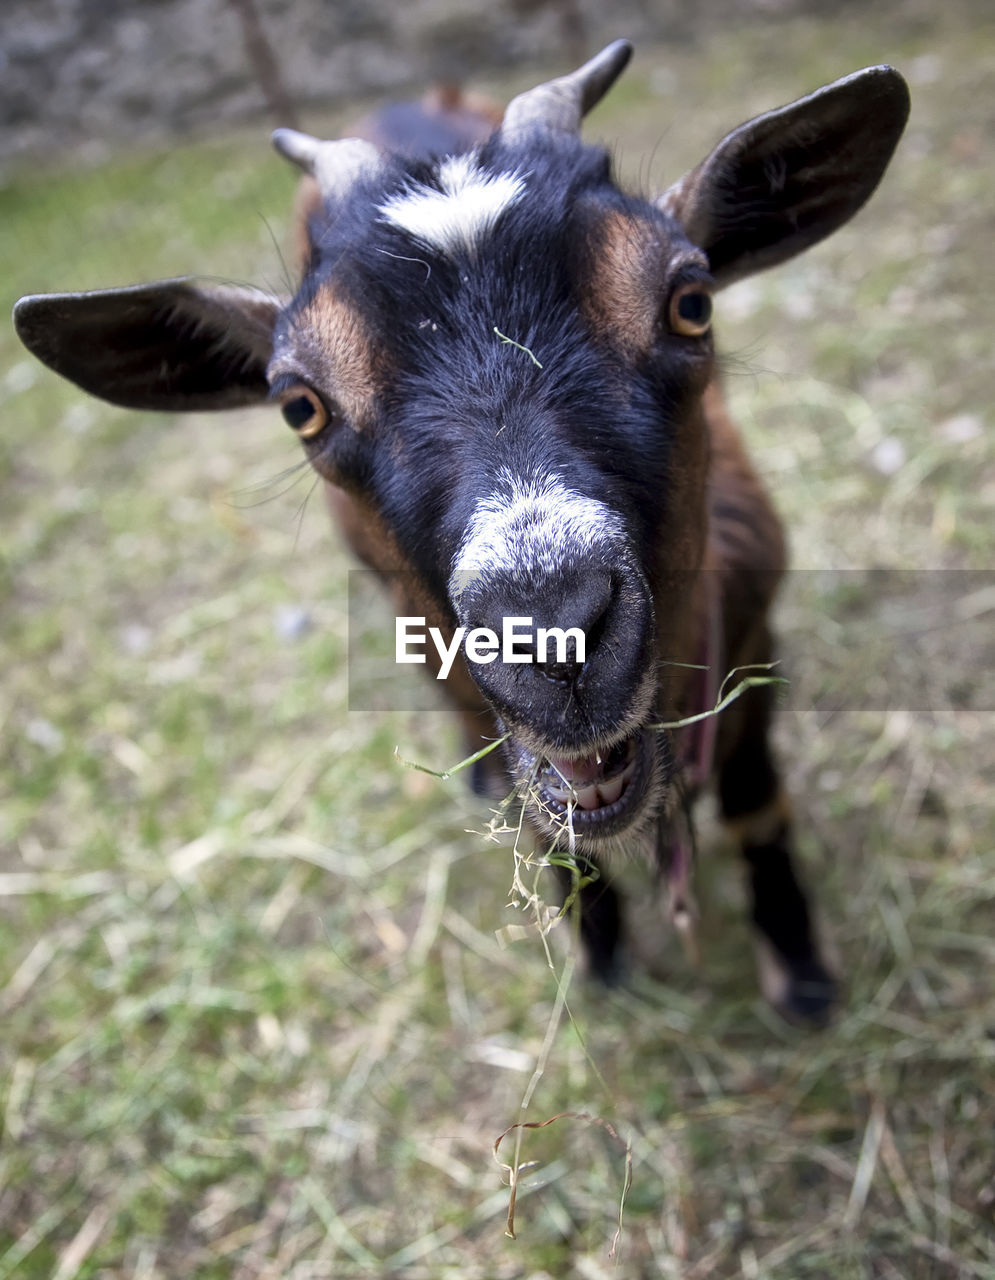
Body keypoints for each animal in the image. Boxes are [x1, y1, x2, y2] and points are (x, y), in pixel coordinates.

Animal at [11, 42, 906, 1018]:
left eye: (691, 302)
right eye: (299, 405)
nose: (552, 632)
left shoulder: (749, 627)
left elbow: (754, 805)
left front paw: (801, 973)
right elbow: (545, 826)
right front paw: (600, 962)